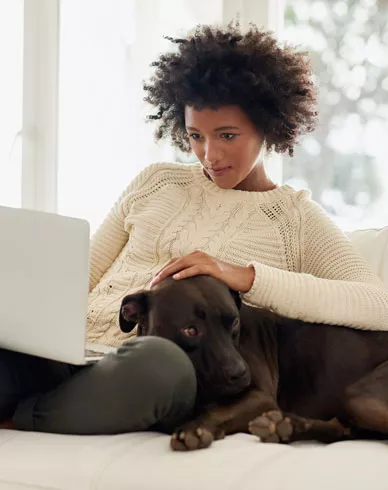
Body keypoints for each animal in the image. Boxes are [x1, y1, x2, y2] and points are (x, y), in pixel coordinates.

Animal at [118, 274, 388, 450]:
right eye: (190, 330)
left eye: (234, 321)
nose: (240, 373)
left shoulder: (260, 398)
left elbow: (218, 410)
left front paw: (196, 428)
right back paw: (287, 428)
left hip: (359, 396)